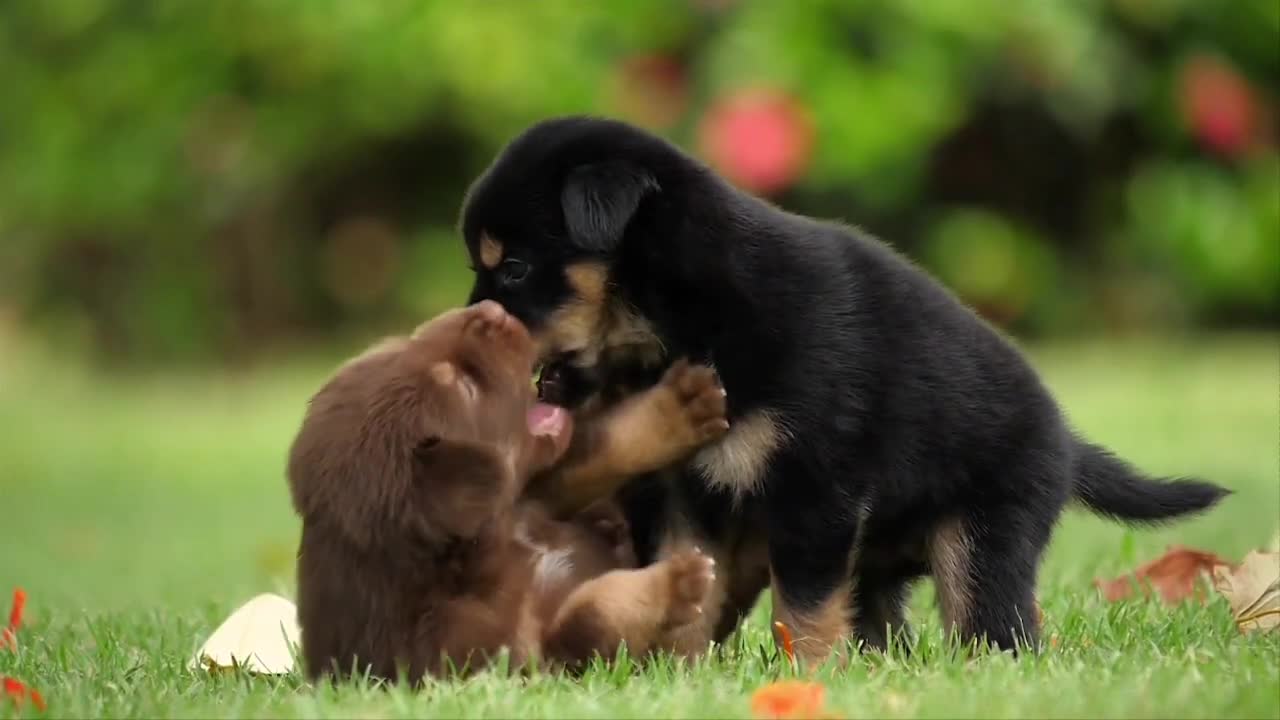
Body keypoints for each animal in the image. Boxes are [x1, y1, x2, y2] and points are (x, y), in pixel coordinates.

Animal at [290, 299, 732, 681]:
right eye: (464, 386)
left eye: (403, 343)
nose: (492, 310)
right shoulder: (524, 658)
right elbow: (594, 611)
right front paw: (676, 581)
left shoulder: (532, 499)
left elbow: (594, 452)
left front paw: (677, 409)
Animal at [460, 117, 1228, 661]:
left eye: (515, 267)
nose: (466, 325)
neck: (688, 319)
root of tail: (1064, 438)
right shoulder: (682, 494)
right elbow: (688, 587)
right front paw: (674, 670)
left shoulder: (814, 491)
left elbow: (800, 610)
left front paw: (809, 677)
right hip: (883, 562)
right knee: (888, 622)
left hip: (986, 534)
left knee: (996, 626)